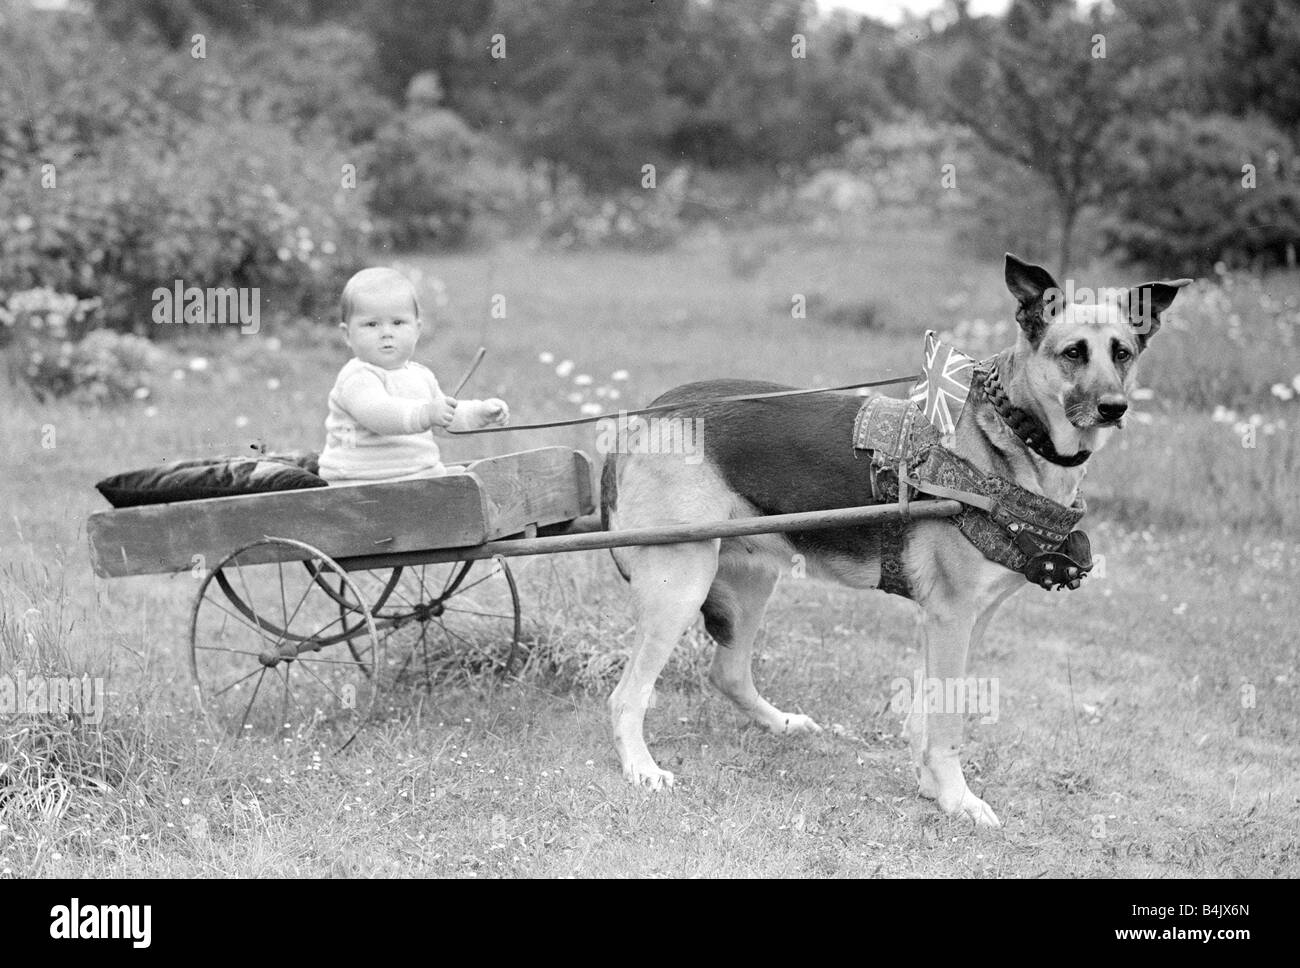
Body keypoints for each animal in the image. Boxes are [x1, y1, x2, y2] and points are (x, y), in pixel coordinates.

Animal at [598, 254, 1190, 821]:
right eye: (1073, 353)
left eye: (1122, 353)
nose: (1114, 407)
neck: (1011, 438)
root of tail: (646, 415)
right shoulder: (951, 616)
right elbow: (946, 724)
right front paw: (958, 799)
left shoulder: (965, 620)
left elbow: (929, 714)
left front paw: (933, 787)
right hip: (682, 584)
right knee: (628, 696)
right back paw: (642, 769)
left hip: (749, 581)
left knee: (727, 672)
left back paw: (780, 722)